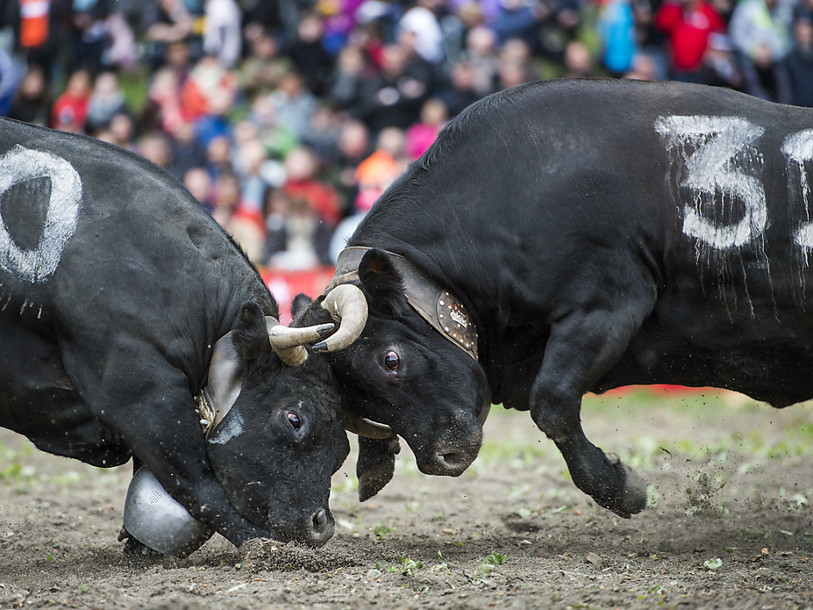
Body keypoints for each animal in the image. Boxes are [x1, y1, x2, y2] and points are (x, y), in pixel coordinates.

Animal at [0, 117, 351, 552]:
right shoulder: (141, 393)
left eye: (344, 448)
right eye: (295, 419)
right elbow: (199, 486)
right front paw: (263, 548)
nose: (321, 525)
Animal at [296, 78, 813, 516]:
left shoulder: (607, 304)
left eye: (391, 359)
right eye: (352, 399)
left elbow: (553, 402)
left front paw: (620, 487)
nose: (442, 457)